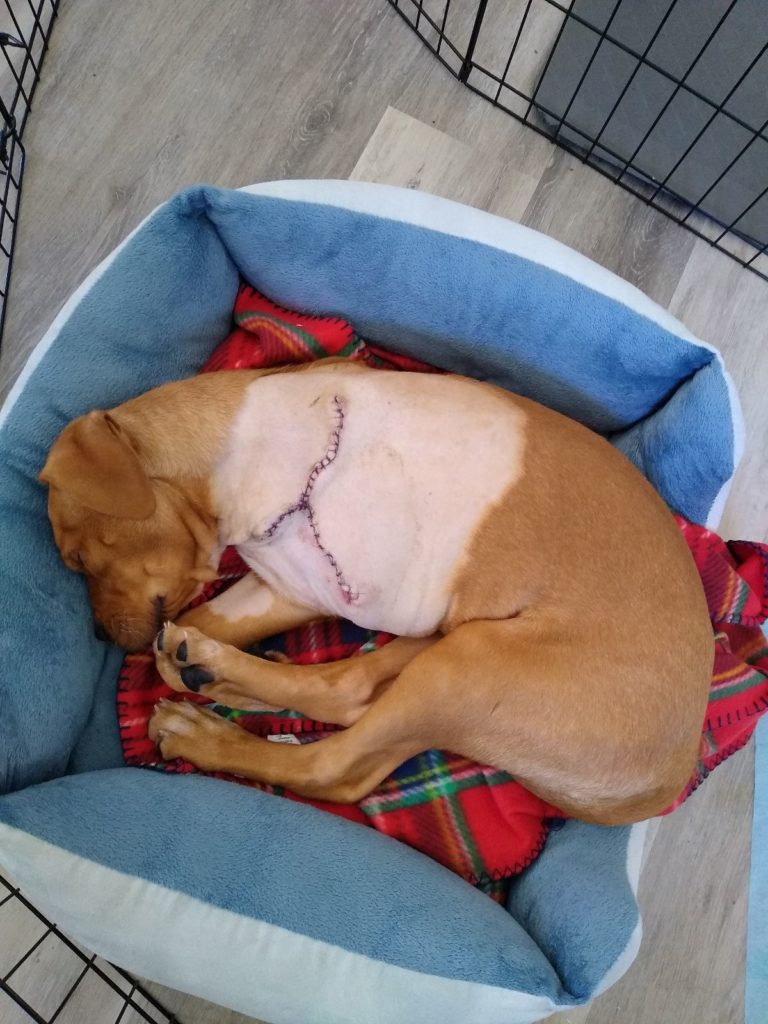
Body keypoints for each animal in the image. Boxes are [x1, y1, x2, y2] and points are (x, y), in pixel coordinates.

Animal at [40, 360, 716, 823]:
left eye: (78, 558)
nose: (99, 635)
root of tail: (666, 778)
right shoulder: (286, 586)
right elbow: (193, 633)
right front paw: (200, 663)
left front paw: (196, 669)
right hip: (447, 649)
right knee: (350, 692)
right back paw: (223, 679)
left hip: (468, 664)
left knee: (334, 758)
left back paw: (204, 725)